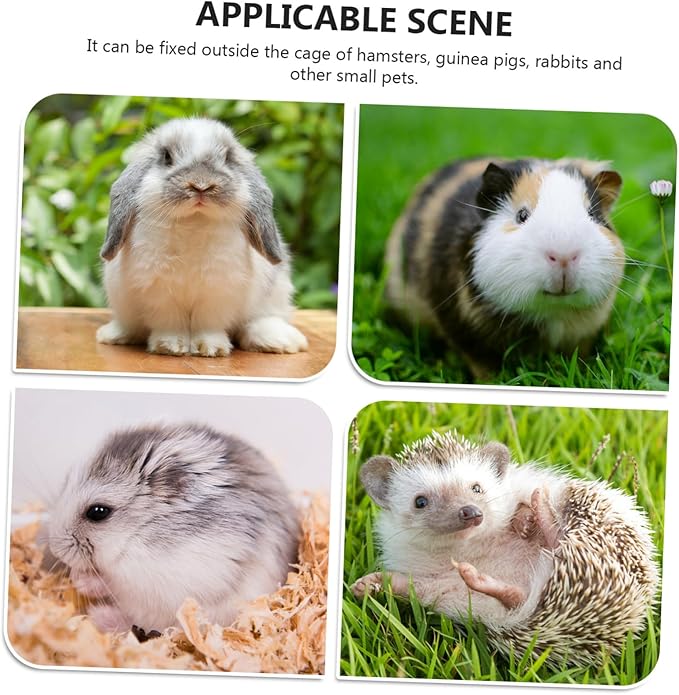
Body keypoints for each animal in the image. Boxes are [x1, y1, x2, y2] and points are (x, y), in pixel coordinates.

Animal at [95, 117, 308, 357]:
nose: (201, 185)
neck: (194, 222)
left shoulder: (218, 291)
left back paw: (279, 340)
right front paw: (170, 346)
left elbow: (208, 323)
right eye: (167, 156)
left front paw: (210, 348)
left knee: (260, 321)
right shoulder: (159, 292)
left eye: (228, 157)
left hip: (275, 294)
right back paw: (114, 334)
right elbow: (169, 322)